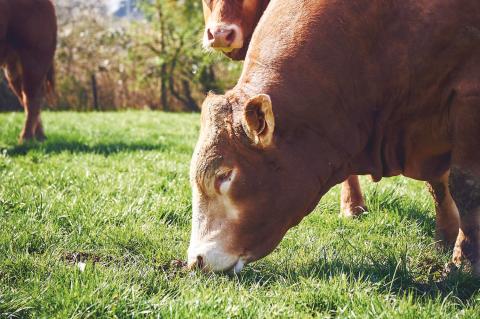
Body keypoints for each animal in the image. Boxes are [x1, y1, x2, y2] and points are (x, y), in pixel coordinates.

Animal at [0, 0, 56, 142]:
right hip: (13, 69)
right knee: (27, 98)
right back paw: (40, 136)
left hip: (34, 58)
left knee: (31, 98)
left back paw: (26, 138)